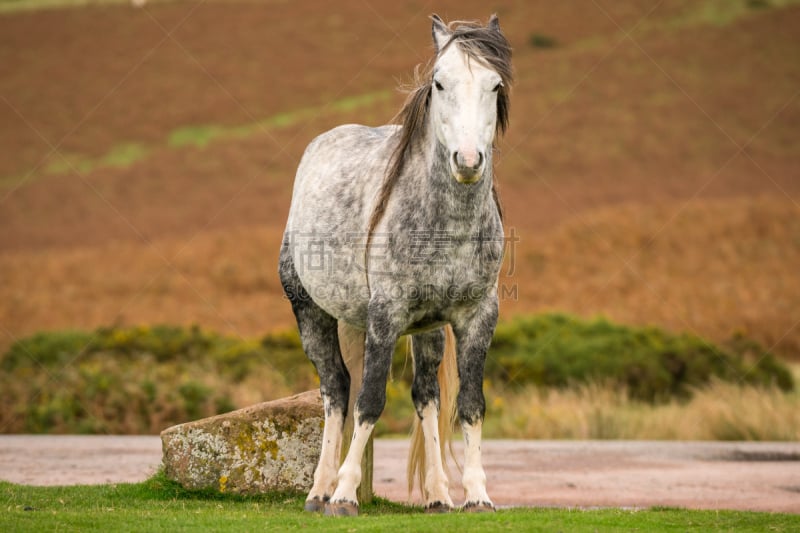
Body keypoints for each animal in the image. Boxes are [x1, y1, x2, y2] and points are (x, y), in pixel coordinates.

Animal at [278, 13, 510, 516]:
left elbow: (470, 405)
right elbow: (369, 401)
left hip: (425, 329)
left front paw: (477, 496)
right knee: (337, 391)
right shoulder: (385, 316)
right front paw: (345, 495)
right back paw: (320, 490)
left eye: (495, 84)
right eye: (439, 83)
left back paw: (439, 495)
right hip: (313, 313)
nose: (468, 160)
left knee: (426, 396)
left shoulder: (478, 317)